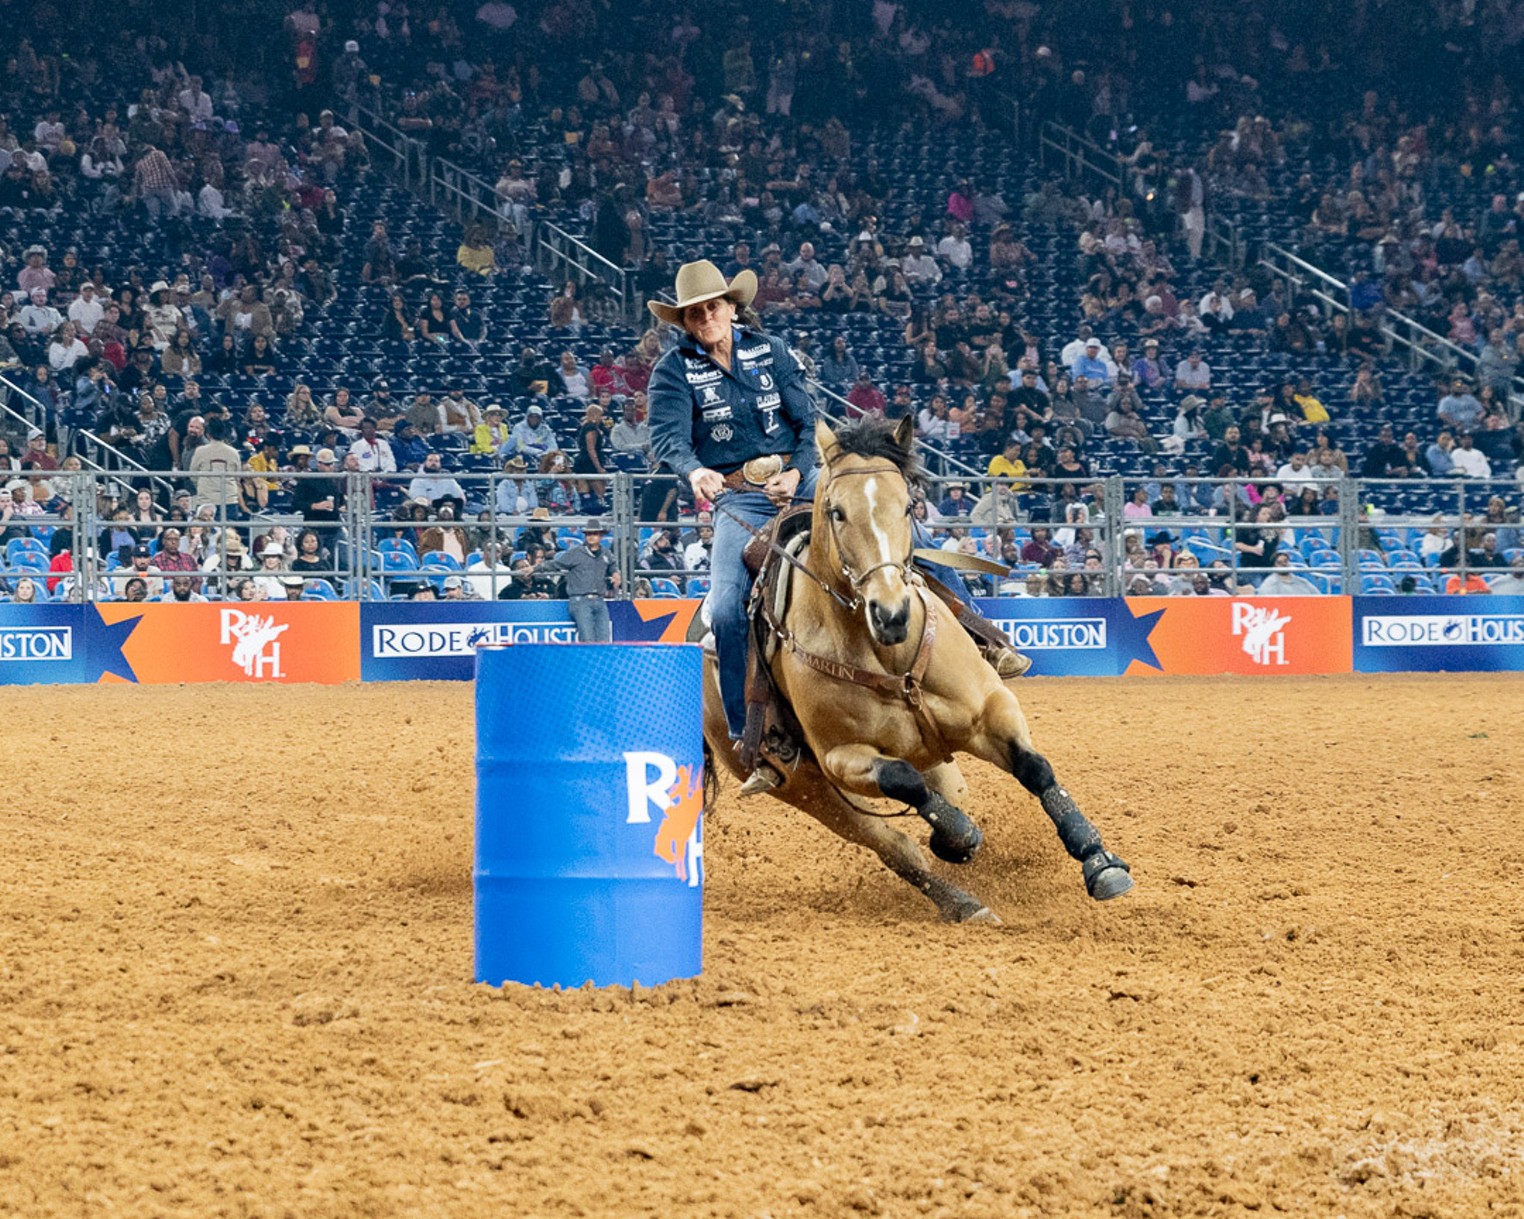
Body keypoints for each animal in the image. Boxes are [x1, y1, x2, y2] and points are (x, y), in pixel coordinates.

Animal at [701, 414, 1133, 920]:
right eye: (837, 512)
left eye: (908, 506)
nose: (891, 614)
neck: (889, 657)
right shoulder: (840, 758)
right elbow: (902, 781)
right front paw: (957, 836)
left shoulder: (990, 710)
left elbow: (1036, 770)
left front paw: (1099, 861)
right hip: (807, 790)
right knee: (895, 846)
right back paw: (963, 900)